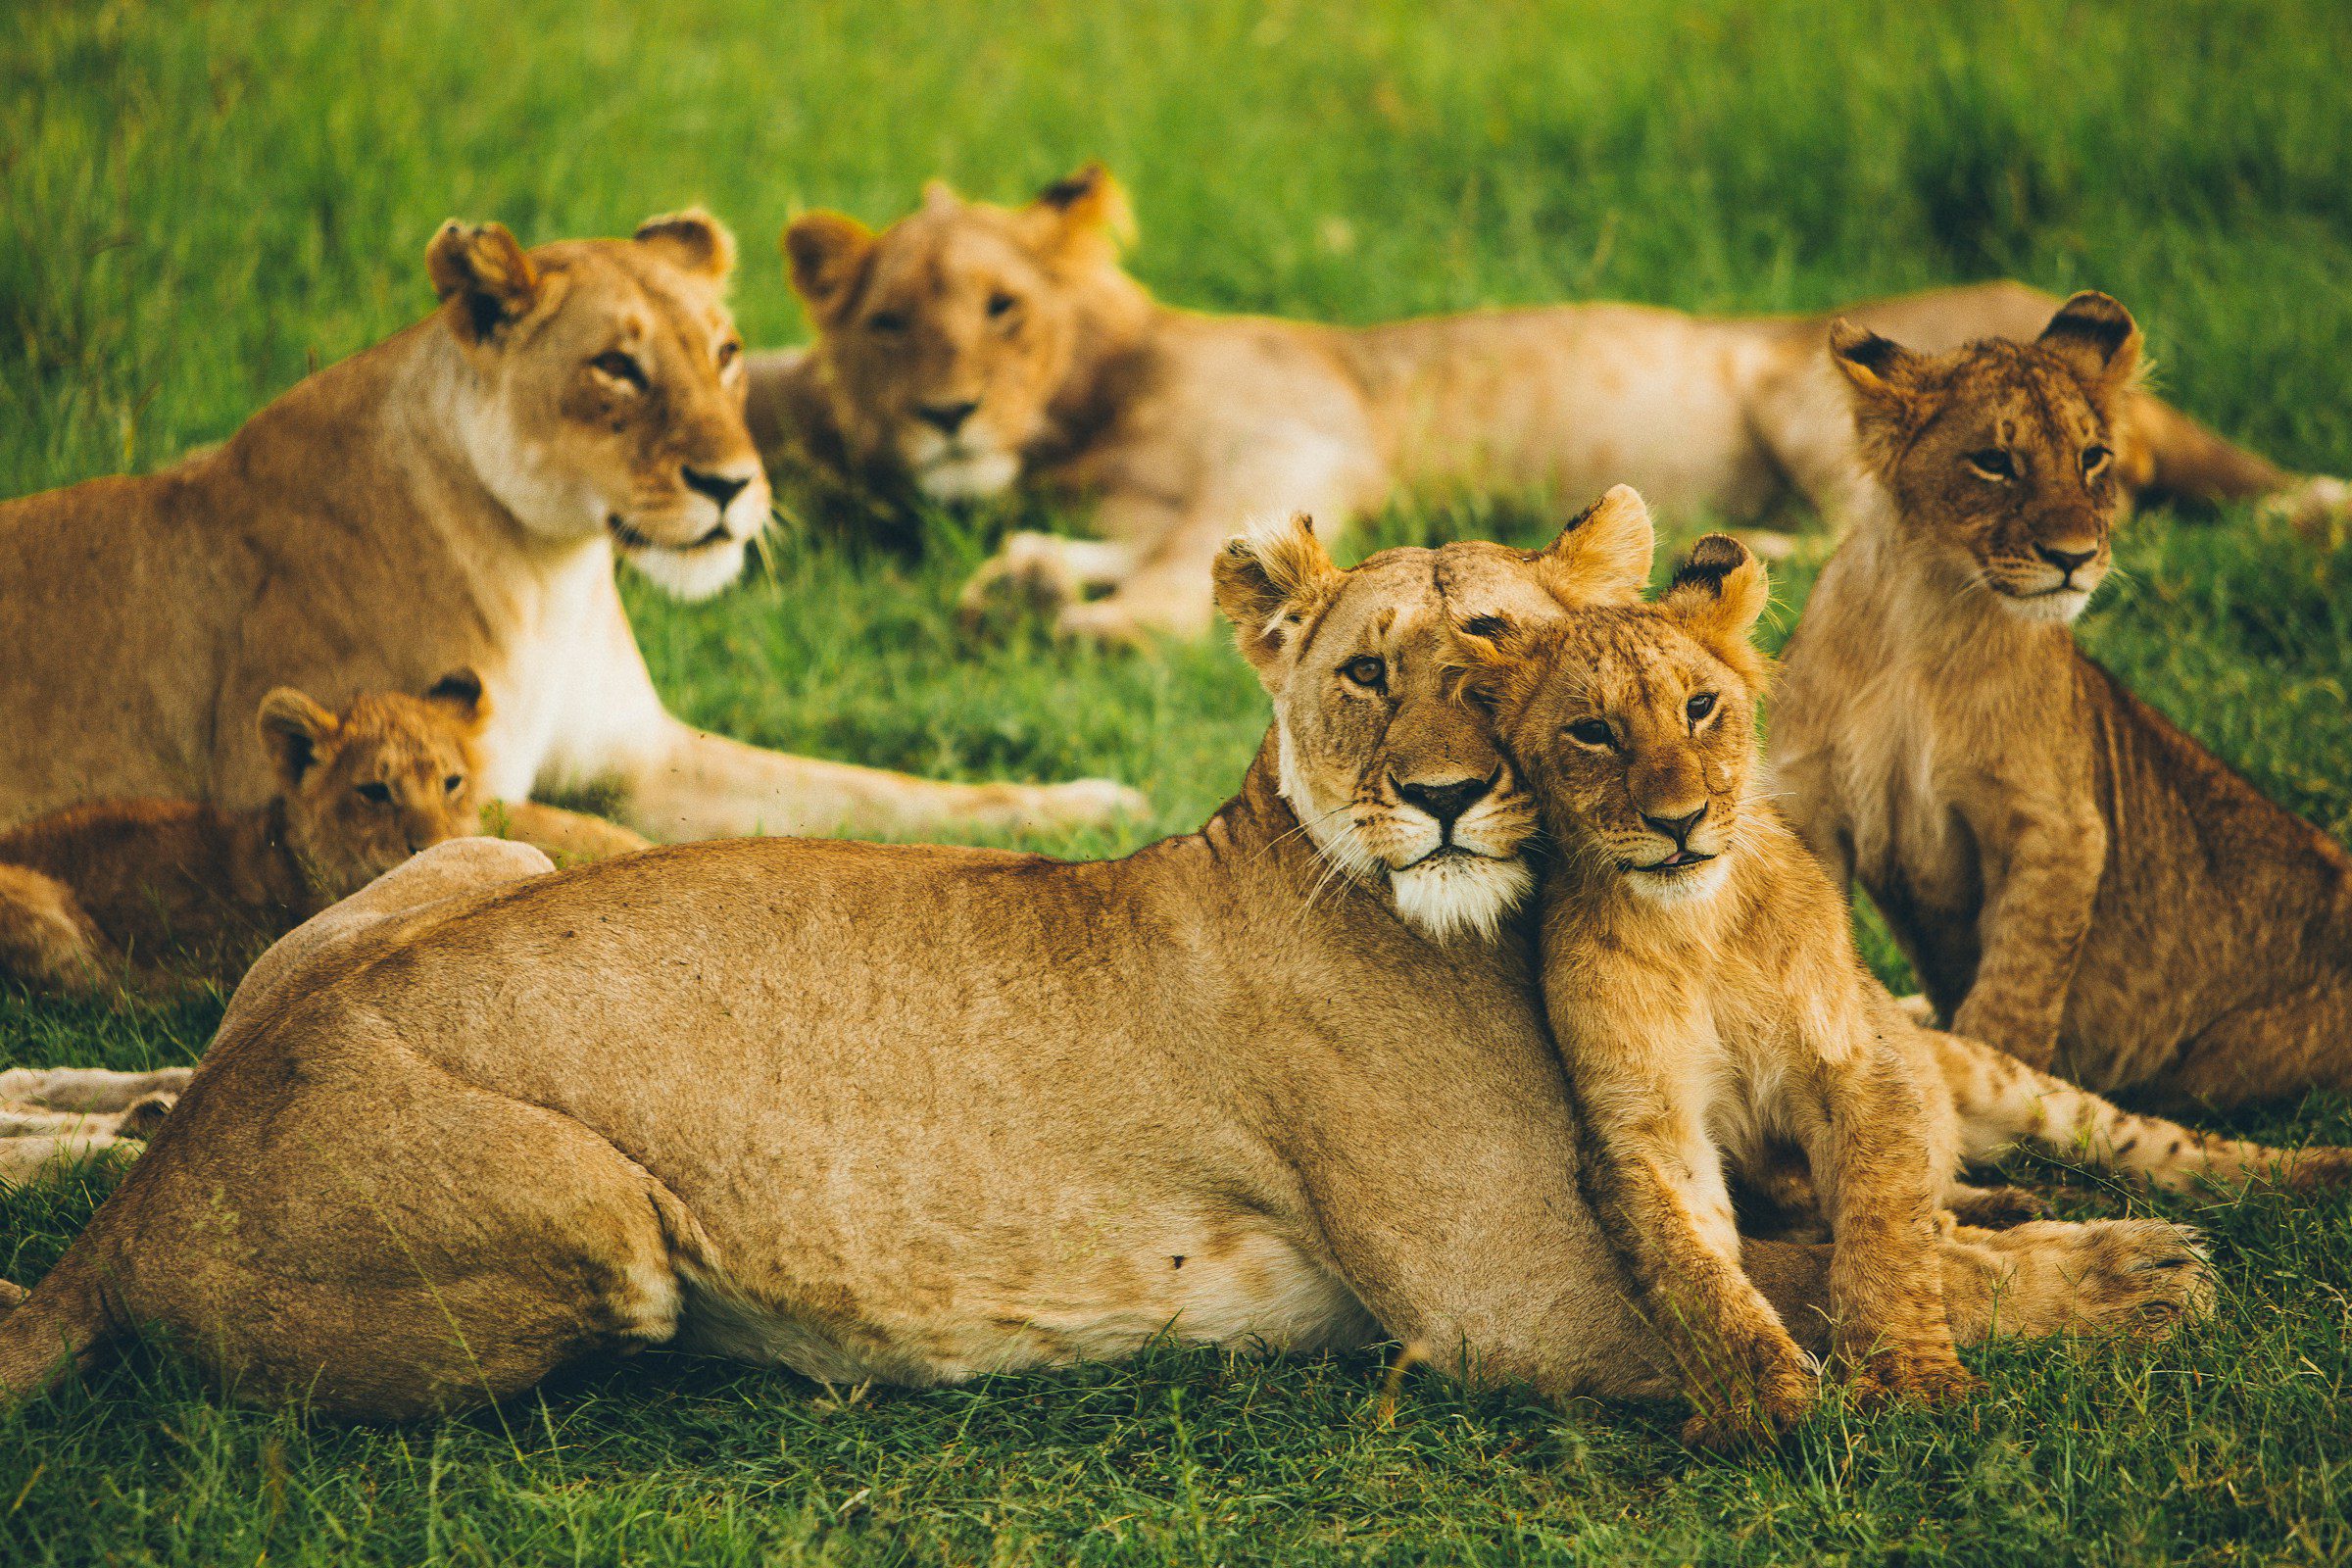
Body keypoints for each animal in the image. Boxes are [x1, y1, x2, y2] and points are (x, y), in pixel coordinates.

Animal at [0, 211, 1141, 844]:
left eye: (726, 352)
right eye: (617, 367)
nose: (733, 485)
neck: (553, 573)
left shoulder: (651, 759)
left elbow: (878, 789)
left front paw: (1086, 804)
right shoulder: (359, 784)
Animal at [0, 505, 2213, 1426]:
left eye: (1501, 654)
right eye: (1367, 675)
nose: (1437, 797)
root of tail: (140, 1208)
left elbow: (1857, 1217)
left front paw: (2013, 1212)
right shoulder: (1514, 1305)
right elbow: (1796, 1287)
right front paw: (2130, 1272)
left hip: (469, 846)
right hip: (603, 1222)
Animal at [749, 163, 2348, 644]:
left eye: (1001, 310)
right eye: (889, 323)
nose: (947, 415)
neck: (1084, 414)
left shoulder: (1296, 439)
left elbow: (1181, 570)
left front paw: (1086, 624)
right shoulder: (1162, 492)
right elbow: (1140, 546)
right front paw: (1024, 577)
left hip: (1801, 385)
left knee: (1874, 536)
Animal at [1453, 497, 2347, 1444]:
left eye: (1701, 707)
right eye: (1592, 732)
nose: (1680, 820)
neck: (1695, 926)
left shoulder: (1859, 1065)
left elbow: (1883, 1229)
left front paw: (1908, 1378)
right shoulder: (1642, 1128)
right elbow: (1693, 1273)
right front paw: (1755, 1405)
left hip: (2003, 1077)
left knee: (2163, 1146)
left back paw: (2312, 1174)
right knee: (1947, 1198)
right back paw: (2013, 1211)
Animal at [1772, 292, 2352, 1111]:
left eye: (2093, 457)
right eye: (1994, 461)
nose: (2075, 557)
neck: (1923, 617)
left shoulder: (2059, 827)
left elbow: (2016, 990)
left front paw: (1996, 1095)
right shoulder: (1808, 804)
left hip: (2219, 1066)